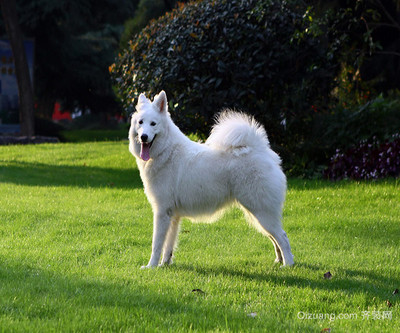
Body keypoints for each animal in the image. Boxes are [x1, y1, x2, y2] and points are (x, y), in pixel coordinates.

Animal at [129, 90, 294, 268]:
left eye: (153, 124)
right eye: (140, 122)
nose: (144, 136)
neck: (166, 150)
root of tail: (261, 150)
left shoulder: (162, 212)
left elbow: (157, 244)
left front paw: (151, 267)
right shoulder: (173, 216)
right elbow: (168, 245)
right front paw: (164, 265)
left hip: (261, 212)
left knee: (283, 237)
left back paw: (288, 265)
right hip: (257, 214)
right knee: (275, 238)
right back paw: (278, 261)